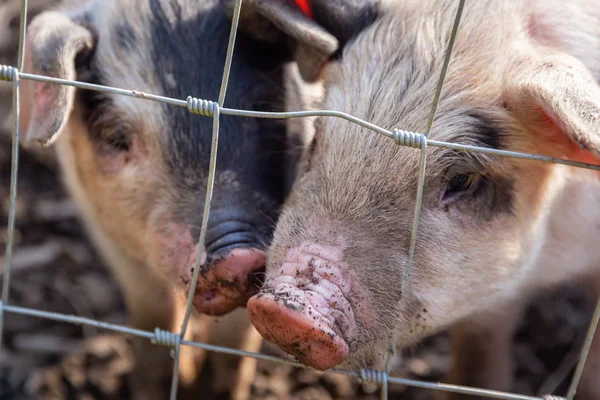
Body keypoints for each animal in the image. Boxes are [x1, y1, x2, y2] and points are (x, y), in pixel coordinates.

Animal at [15, 0, 318, 396]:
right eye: (115, 137)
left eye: (263, 108)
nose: (235, 254)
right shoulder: (106, 231)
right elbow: (152, 319)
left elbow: (234, 346)